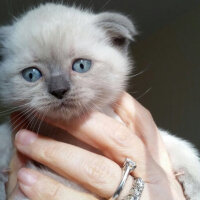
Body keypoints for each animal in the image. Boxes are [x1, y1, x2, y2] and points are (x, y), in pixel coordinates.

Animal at [0, 3, 199, 200]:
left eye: (81, 65)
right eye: (31, 74)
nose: (59, 90)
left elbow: (177, 145)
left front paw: (194, 186)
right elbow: (3, 138)